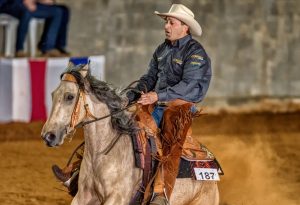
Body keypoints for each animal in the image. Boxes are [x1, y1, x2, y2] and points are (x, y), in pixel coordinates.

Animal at [41, 63, 219, 204]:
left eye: (70, 96)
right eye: (52, 94)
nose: (48, 135)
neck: (101, 155)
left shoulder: (116, 198)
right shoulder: (83, 196)